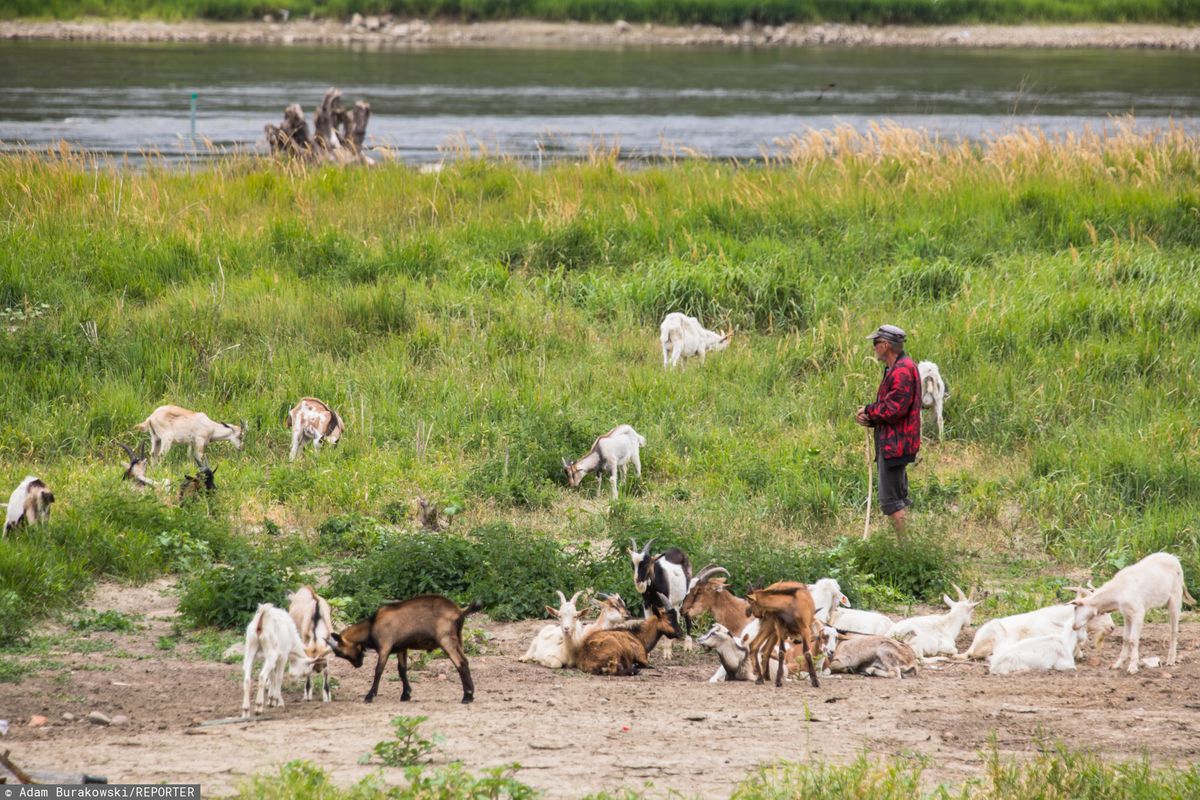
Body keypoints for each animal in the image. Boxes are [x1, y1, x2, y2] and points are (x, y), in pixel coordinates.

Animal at [328, 592, 482, 705]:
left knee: (460, 663)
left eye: (341, 652)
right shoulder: (401, 648)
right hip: (458, 640)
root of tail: (459, 611)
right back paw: (470, 695)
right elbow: (402, 670)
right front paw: (405, 695)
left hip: (446, 640)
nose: (358, 665)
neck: (371, 625)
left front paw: (369, 696)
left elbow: (378, 670)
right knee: (465, 661)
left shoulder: (385, 646)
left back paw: (466, 697)